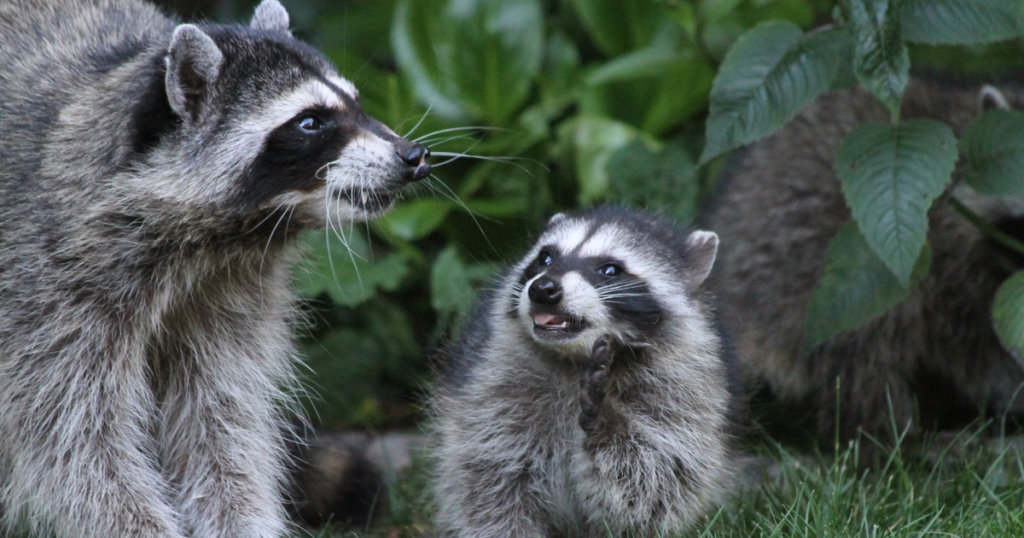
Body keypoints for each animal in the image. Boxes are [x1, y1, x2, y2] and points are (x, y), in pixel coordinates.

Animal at [0, 1, 428, 536]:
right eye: (311, 123)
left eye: (356, 102)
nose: (414, 156)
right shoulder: (45, 292)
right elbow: (79, 448)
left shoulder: (228, 290)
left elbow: (220, 423)